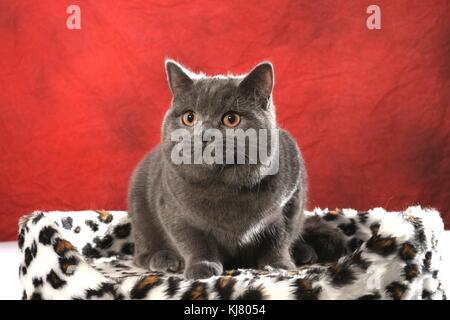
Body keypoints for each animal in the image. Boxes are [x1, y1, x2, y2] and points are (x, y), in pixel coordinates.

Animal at [128, 60, 346, 280]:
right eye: (189, 118)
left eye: (231, 119)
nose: (205, 135)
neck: (224, 186)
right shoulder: (175, 211)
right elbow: (194, 242)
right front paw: (202, 267)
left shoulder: (290, 201)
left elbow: (279, 238)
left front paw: (279, 264)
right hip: (138, 202)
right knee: (140, 253)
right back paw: (164, 259)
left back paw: (304, 252)